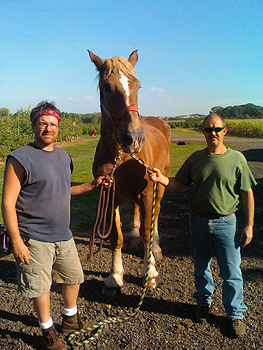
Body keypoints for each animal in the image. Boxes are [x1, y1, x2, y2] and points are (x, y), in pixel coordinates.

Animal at [88, 50, 171, 292]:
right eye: (106, 87)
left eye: (138, 86)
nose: (134, 137)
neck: (120, 157)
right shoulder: (110, 194)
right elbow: (115, 237)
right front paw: (114, 277)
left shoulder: (147, 192)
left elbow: (146, 231)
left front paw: (149, 272)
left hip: (160, 184)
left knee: (155, 214)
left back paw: (156, 248)